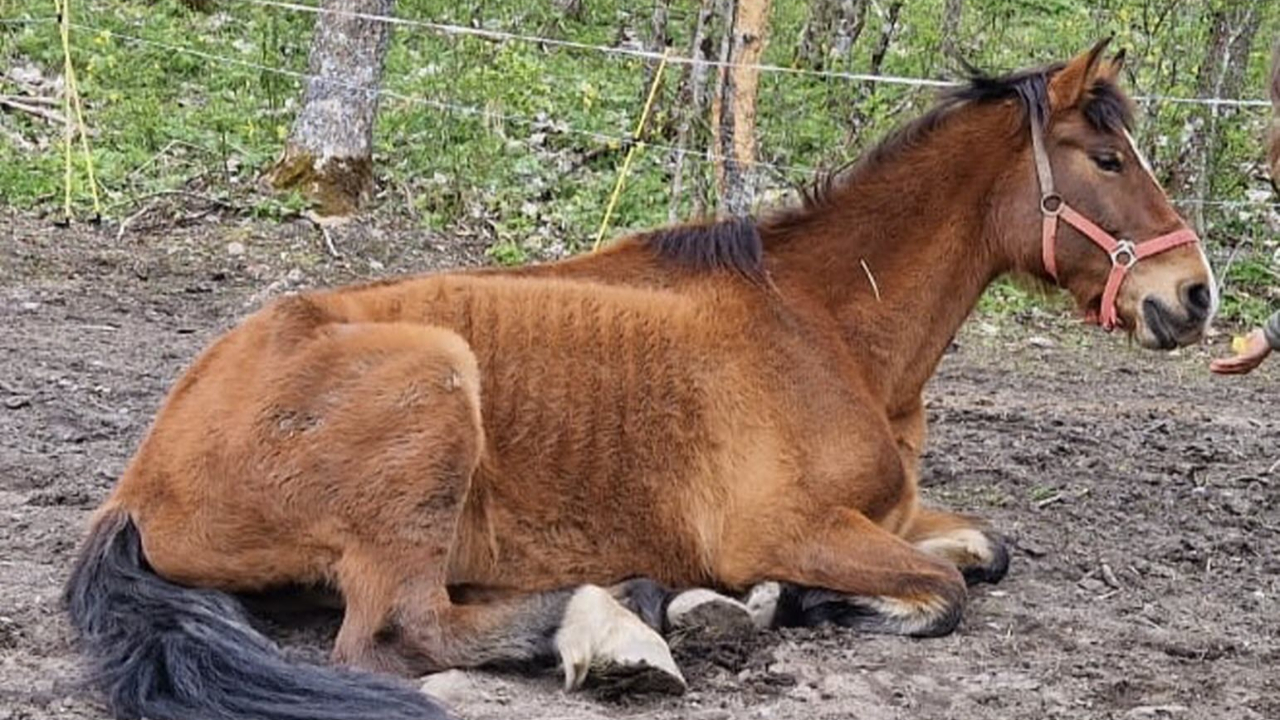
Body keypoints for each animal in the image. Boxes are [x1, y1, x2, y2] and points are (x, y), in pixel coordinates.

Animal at [65, 41, 1216, 720]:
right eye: (1106, 161)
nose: (1194, 296)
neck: (823, 324)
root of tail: (135, 487)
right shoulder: (786, 526)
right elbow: (941, 594)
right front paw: (787, 602)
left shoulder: (890, 512)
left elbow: (986, 553)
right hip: (436, 381)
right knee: (398, 633)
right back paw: (627, 615)